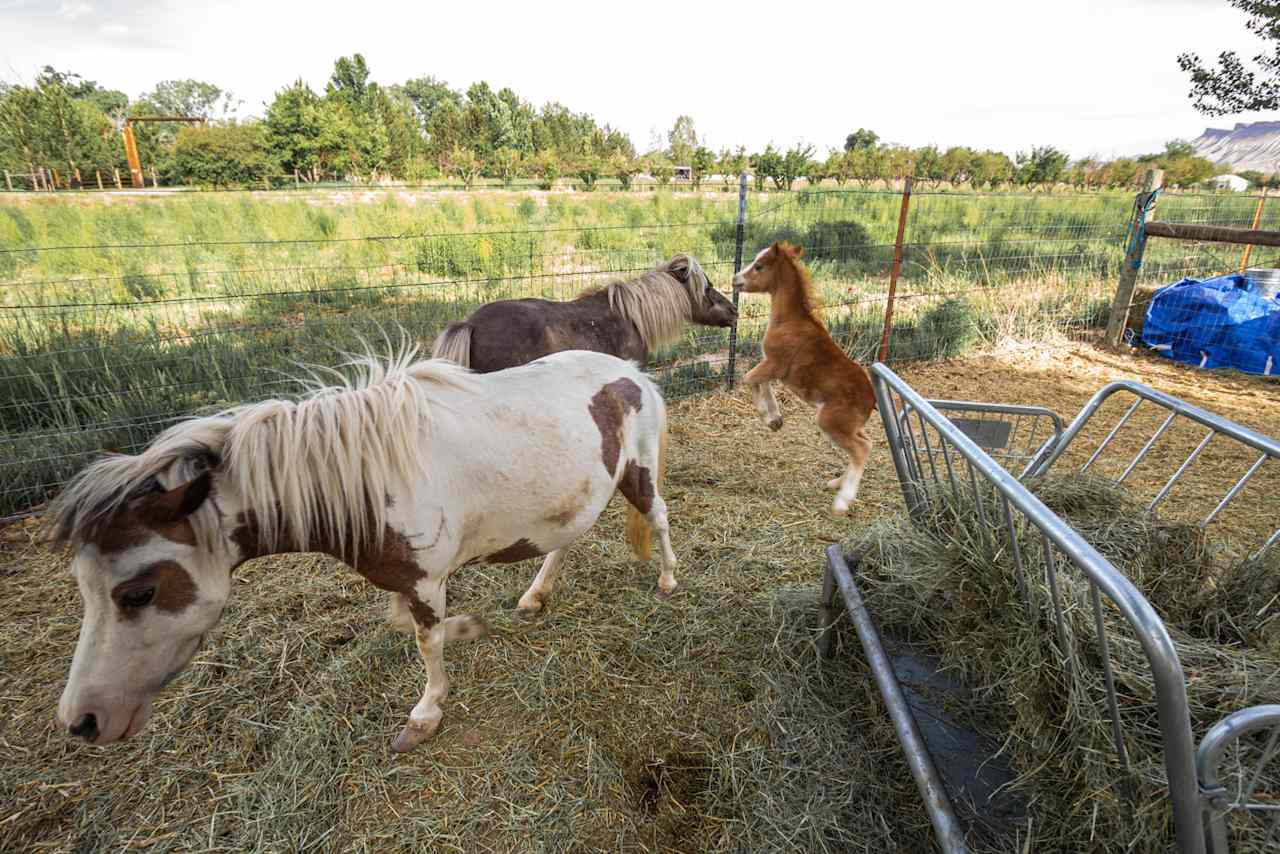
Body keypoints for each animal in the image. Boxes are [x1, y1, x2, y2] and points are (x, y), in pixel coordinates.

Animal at [47, 348, 680, 752]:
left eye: (138, 591)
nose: (82, 721)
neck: (368, 476)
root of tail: (631, 373)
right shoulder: (407, 578)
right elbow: (406, 625)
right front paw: (471, 628)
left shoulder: (424, 578)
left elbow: (426, 642)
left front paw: (426, 713)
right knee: (565, 540)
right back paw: (535, 594)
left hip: (640, 475)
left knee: (660, 517)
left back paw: (669, 581)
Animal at [732, 240, 880, 514]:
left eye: (758, 266)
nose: (735, 279)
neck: (790, 321)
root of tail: (871, 399)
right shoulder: (773, 368)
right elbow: (762, 383)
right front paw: (776, 420)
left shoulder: (774, 364)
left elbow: (749, 379)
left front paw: (769, 418)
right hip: (849, 425)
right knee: (867, 442)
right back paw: (836, 482)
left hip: (830, 421)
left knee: (861, 449)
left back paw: (843, 501)